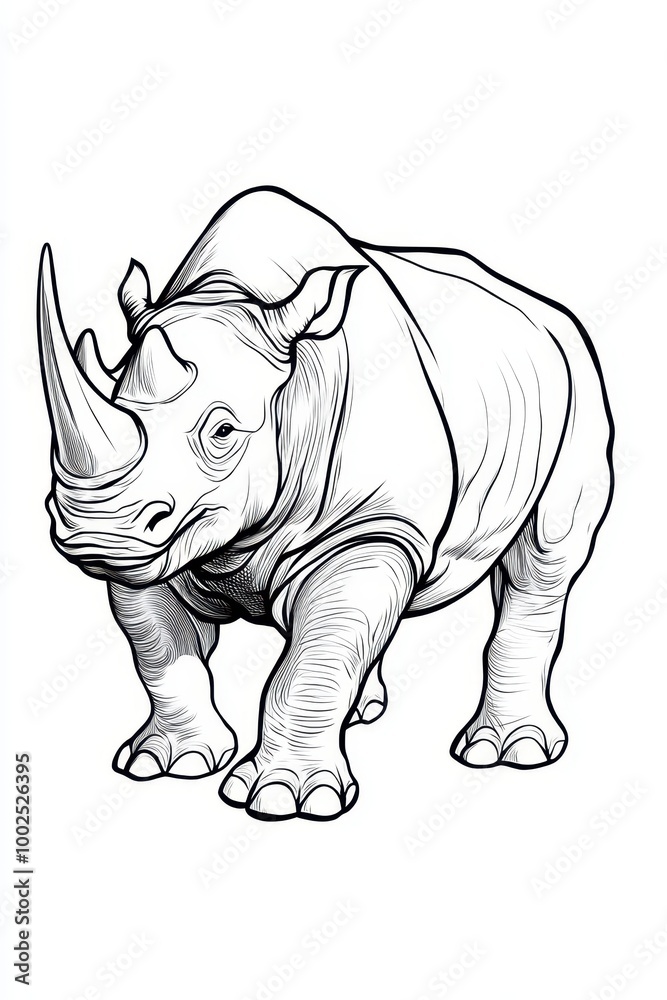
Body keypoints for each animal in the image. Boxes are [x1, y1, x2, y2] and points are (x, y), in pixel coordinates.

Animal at [38, 186, 613, 821]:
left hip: (579, 378)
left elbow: (315, 653)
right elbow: (160, 648)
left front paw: (283, 799)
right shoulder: (163, 543)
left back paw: (507, 752)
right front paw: (166, 762)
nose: (95, 532)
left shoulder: (370, 525)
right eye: (112, 397)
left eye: (223, 432)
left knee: (543, 563)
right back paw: (368, 713)